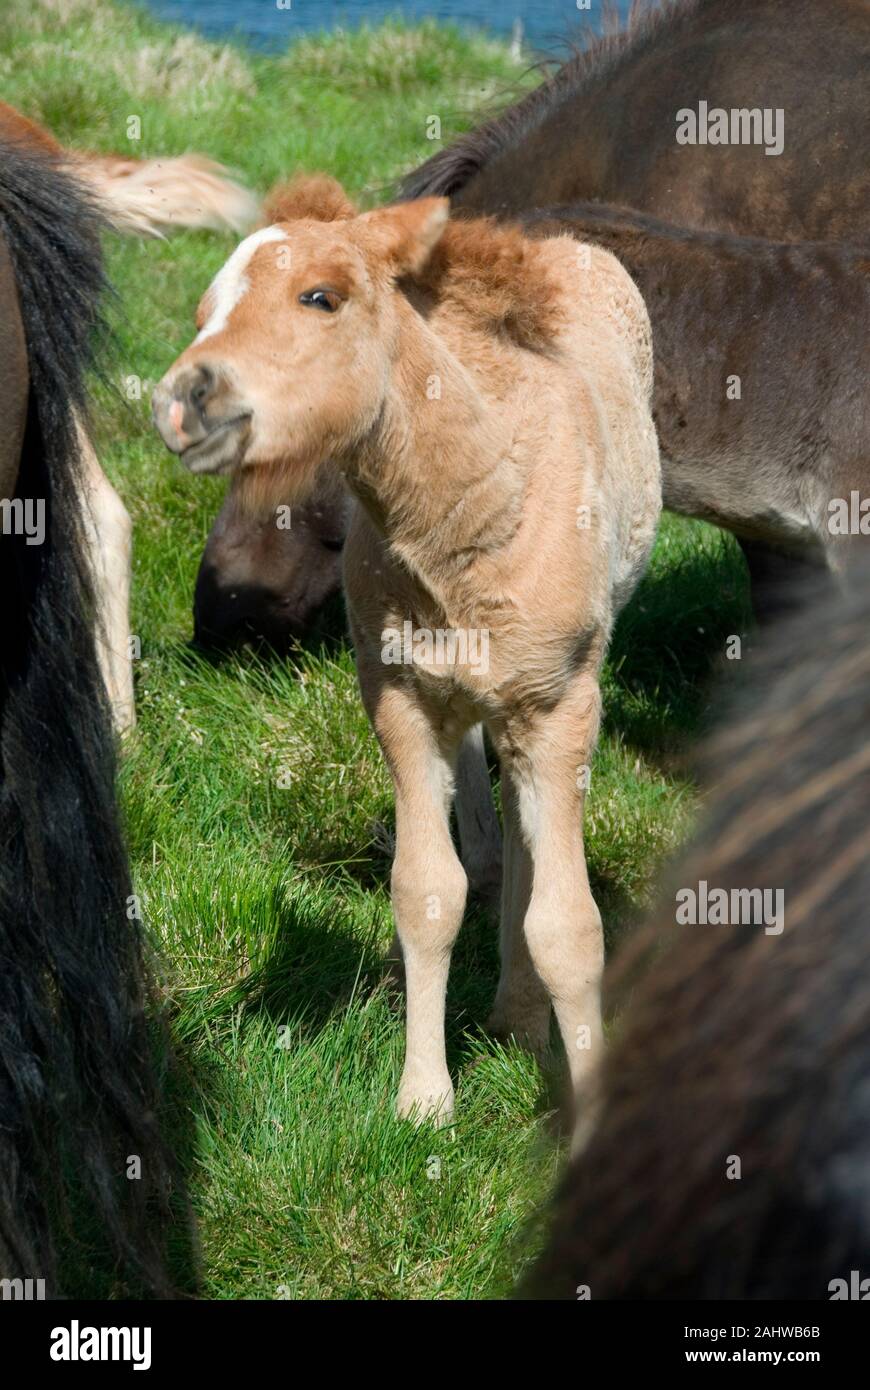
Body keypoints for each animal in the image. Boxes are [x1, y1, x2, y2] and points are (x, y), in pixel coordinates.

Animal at [154, 176, 655, 1128]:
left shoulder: (563, 703)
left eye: (320, 297)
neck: (480, 501)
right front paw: (425, 1099)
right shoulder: (399, 698)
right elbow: (427, 891)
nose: (181, 400)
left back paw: (519, 1016)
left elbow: (571, 926)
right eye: (202, 312)